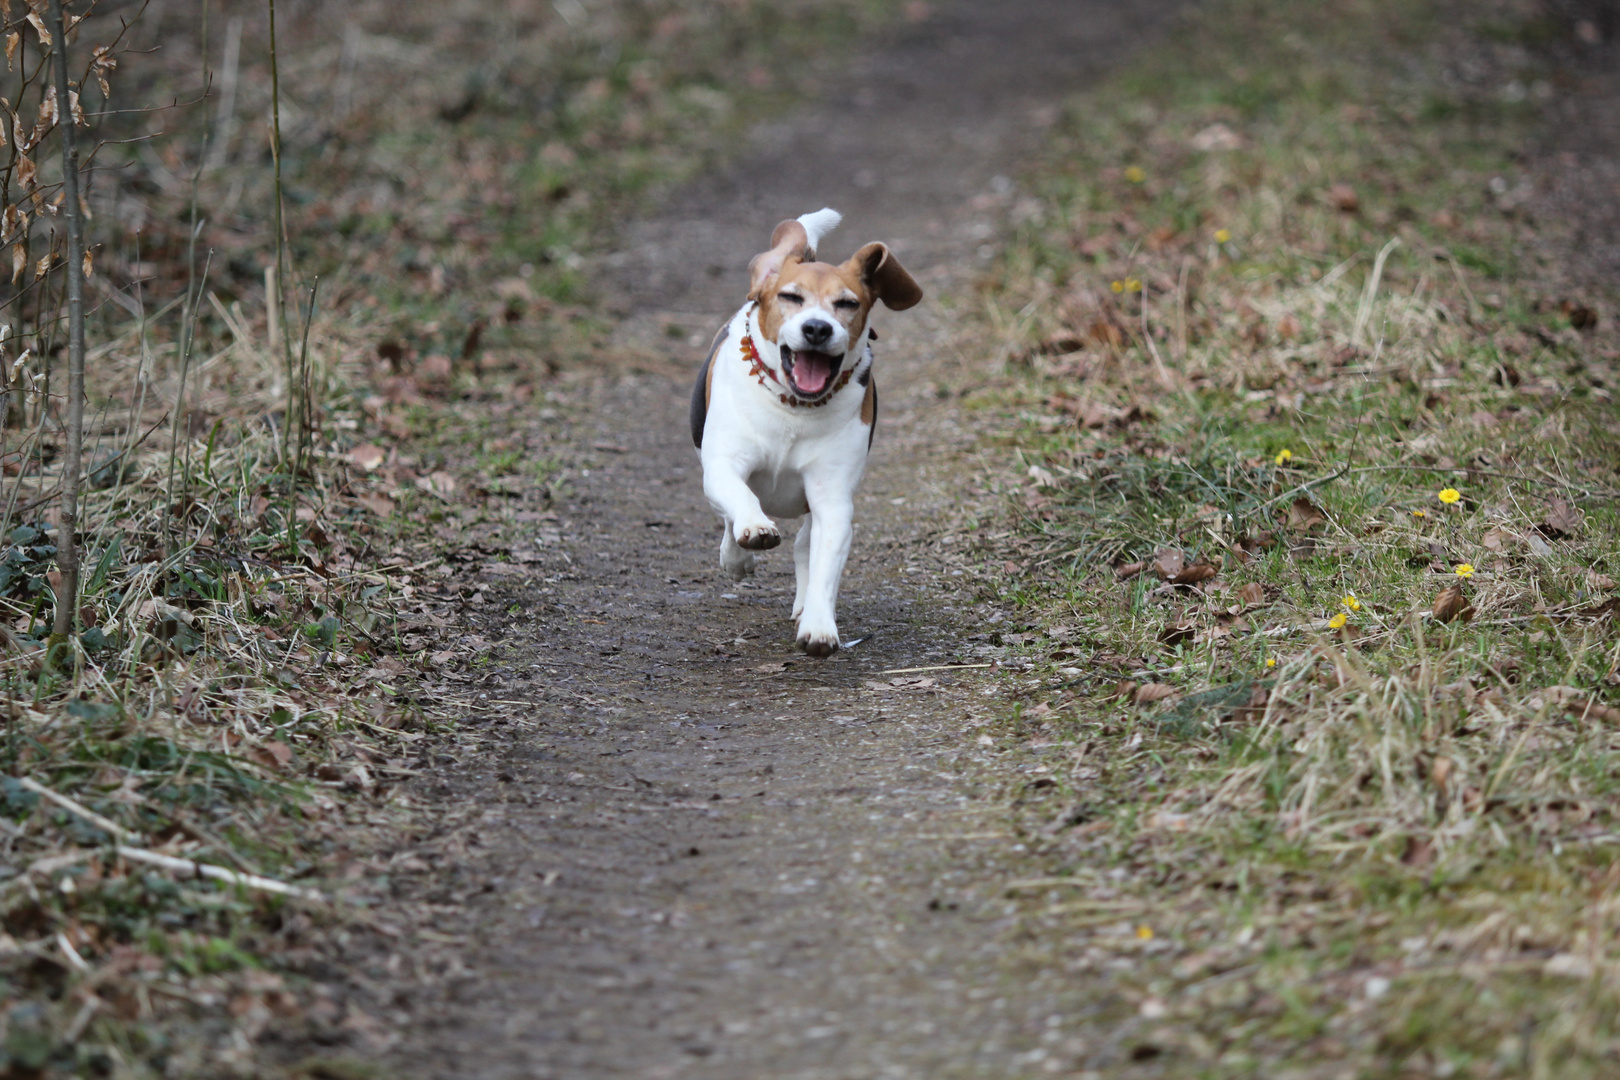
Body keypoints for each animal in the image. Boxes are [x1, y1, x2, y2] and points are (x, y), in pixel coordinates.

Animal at [690, 208, 926, 654]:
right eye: (791, 297)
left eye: (847, 303)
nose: (818, 328)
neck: (794, 407)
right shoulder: (723, 464)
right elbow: (740, 497)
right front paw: (753, 531)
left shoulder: (832, 498)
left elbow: (824, 566)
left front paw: (819, 623)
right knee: (730, 519)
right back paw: (739, 555)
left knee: (804, 546)